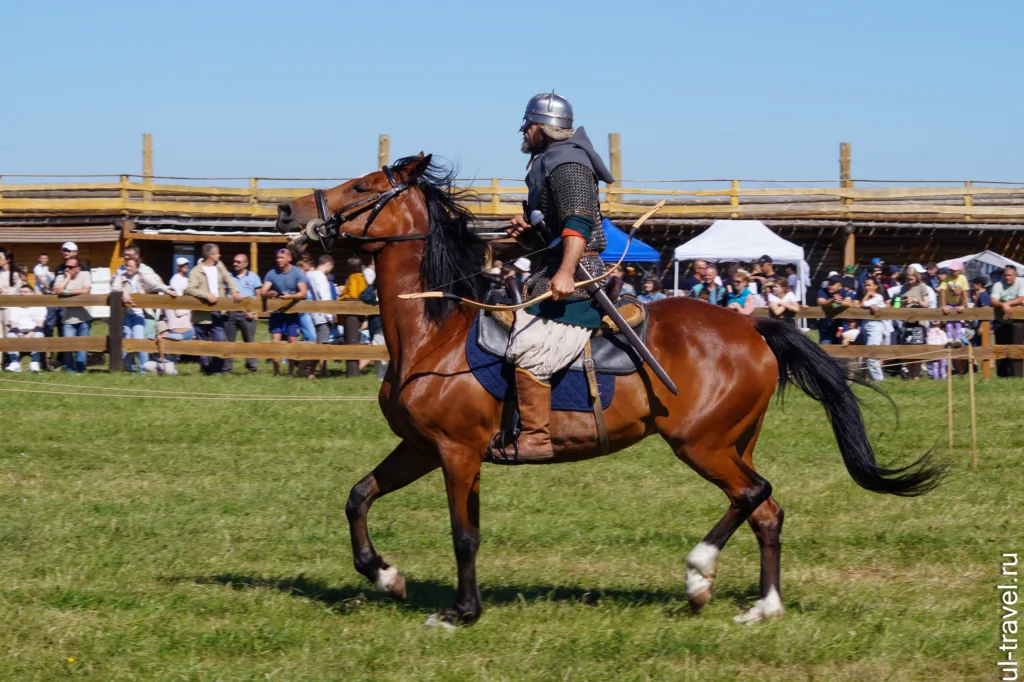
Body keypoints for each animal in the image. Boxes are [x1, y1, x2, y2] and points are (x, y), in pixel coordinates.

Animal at [274, 156, 942, 622]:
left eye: (362, 186)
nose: (285, 214)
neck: (435, 330)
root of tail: (750, 322)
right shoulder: (422, 447)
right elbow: (359, 497)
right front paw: (385, 575)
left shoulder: (456, 452)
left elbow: (463, 534)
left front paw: (461, 612)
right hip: (734, 441)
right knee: (765, 511)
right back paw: (764, 605)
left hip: (701, 443)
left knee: (755, 494)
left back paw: (699, 573)